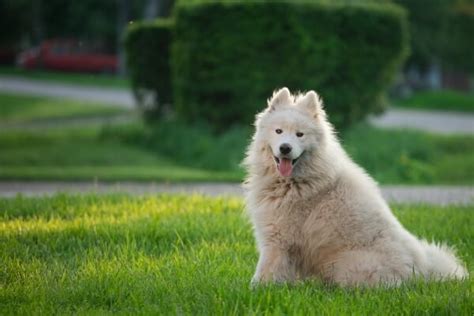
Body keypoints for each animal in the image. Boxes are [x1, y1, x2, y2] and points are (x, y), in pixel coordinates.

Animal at [244, 87, 466, 286]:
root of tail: (422, 270)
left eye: (300, 134)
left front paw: (256, 289)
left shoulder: (278, 239)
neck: (295, 181)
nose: (285, 148)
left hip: (346, 265)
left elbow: (264, 272)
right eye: (278, 131)